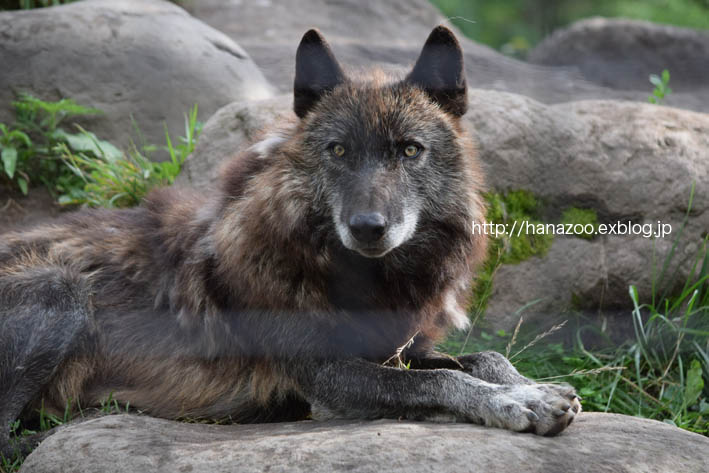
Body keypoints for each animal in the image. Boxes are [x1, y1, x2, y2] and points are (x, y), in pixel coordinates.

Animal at [0, 26, 580, 458]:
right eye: (339, 150)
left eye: (410, 150)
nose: (368, 226)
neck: (358, 278)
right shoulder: (324, 379)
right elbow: (439, 383)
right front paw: (517, 404)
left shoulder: (395, 349)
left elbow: (483, 357)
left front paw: (533, 386)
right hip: (59, 289)